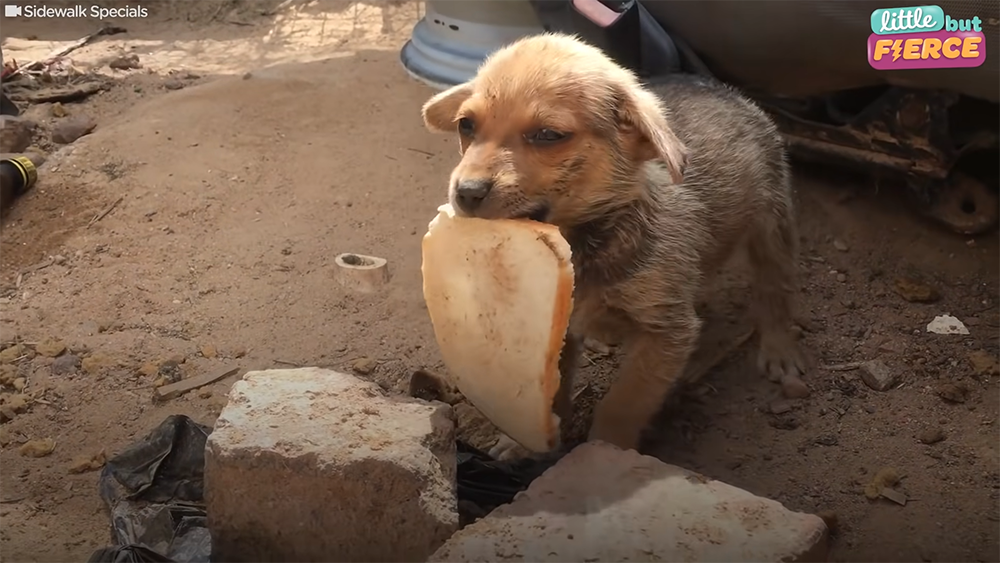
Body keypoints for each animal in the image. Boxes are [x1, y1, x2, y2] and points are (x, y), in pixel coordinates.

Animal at [420, 33, 804, 460]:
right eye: (466, 125)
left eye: (548, 135)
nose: (466, 192)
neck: (584, 240)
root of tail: (721, 88)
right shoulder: (557, 330)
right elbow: (548, 393)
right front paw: (523, 445)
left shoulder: (666, 332)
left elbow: (622, 404)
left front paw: (604, 454)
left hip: (772, 224)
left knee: (775, 289)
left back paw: (779, 349)